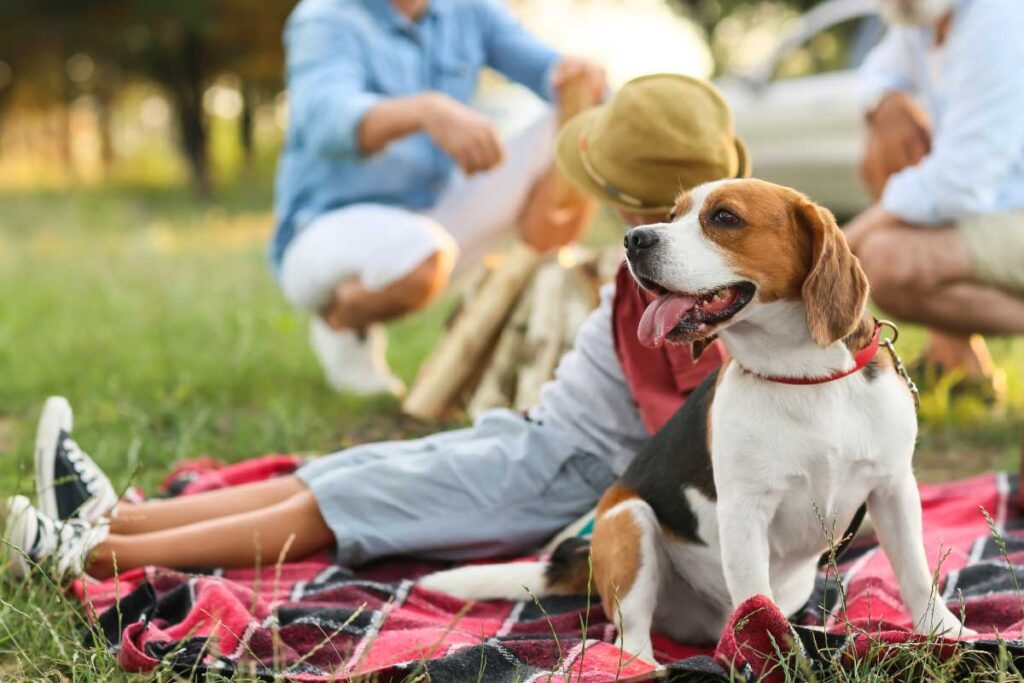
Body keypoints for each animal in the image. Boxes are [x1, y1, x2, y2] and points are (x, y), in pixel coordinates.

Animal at [419, 180, 970, 663]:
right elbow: (755, 606)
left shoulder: (893, 489)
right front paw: (771, 656)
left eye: (724, 218)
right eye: (671, 214)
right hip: (628, 522)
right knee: (630, 632)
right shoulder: (745, 511)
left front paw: (945, 634)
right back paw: (643, 664)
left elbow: (915, 573)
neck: (806, 377)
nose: (634, 239)